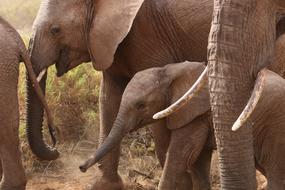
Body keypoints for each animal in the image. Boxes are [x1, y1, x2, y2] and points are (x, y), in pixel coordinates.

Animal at [27, 0, 213, 189]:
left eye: (55, 30)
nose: (55, 147)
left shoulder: (149, 34)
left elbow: (160, 117)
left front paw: (183, 182)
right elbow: (108, 99)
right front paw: (105, 185)